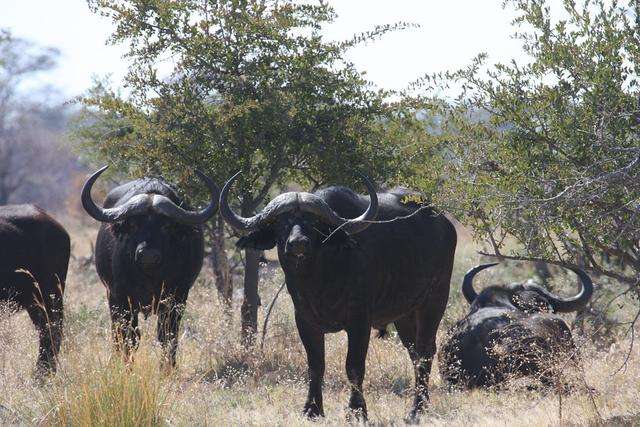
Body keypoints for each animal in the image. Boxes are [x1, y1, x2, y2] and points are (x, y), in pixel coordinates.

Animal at [80, 166, 219, 368]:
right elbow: (129, 337)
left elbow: (167, 336)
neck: (149, 276)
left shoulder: (177, 298)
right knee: (117, 333)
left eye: (166, 226)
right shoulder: (120, 298)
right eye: (134, 224)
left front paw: (168, 368)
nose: (148, 255)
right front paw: (126, 367)